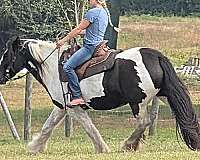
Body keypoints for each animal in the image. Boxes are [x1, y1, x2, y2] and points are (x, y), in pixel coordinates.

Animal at [0, 36, 200, 154]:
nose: (1, 76)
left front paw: (102, 148)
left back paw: (128, 144)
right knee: (183, 116)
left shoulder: (74, 108)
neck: (52, 66)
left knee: (144, 122)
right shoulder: (62, 107)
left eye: (6, 54)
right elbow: (47, 127)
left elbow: (89, 128)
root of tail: (155, 55)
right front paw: (34, 147)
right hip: (165, 95)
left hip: (138, 102)